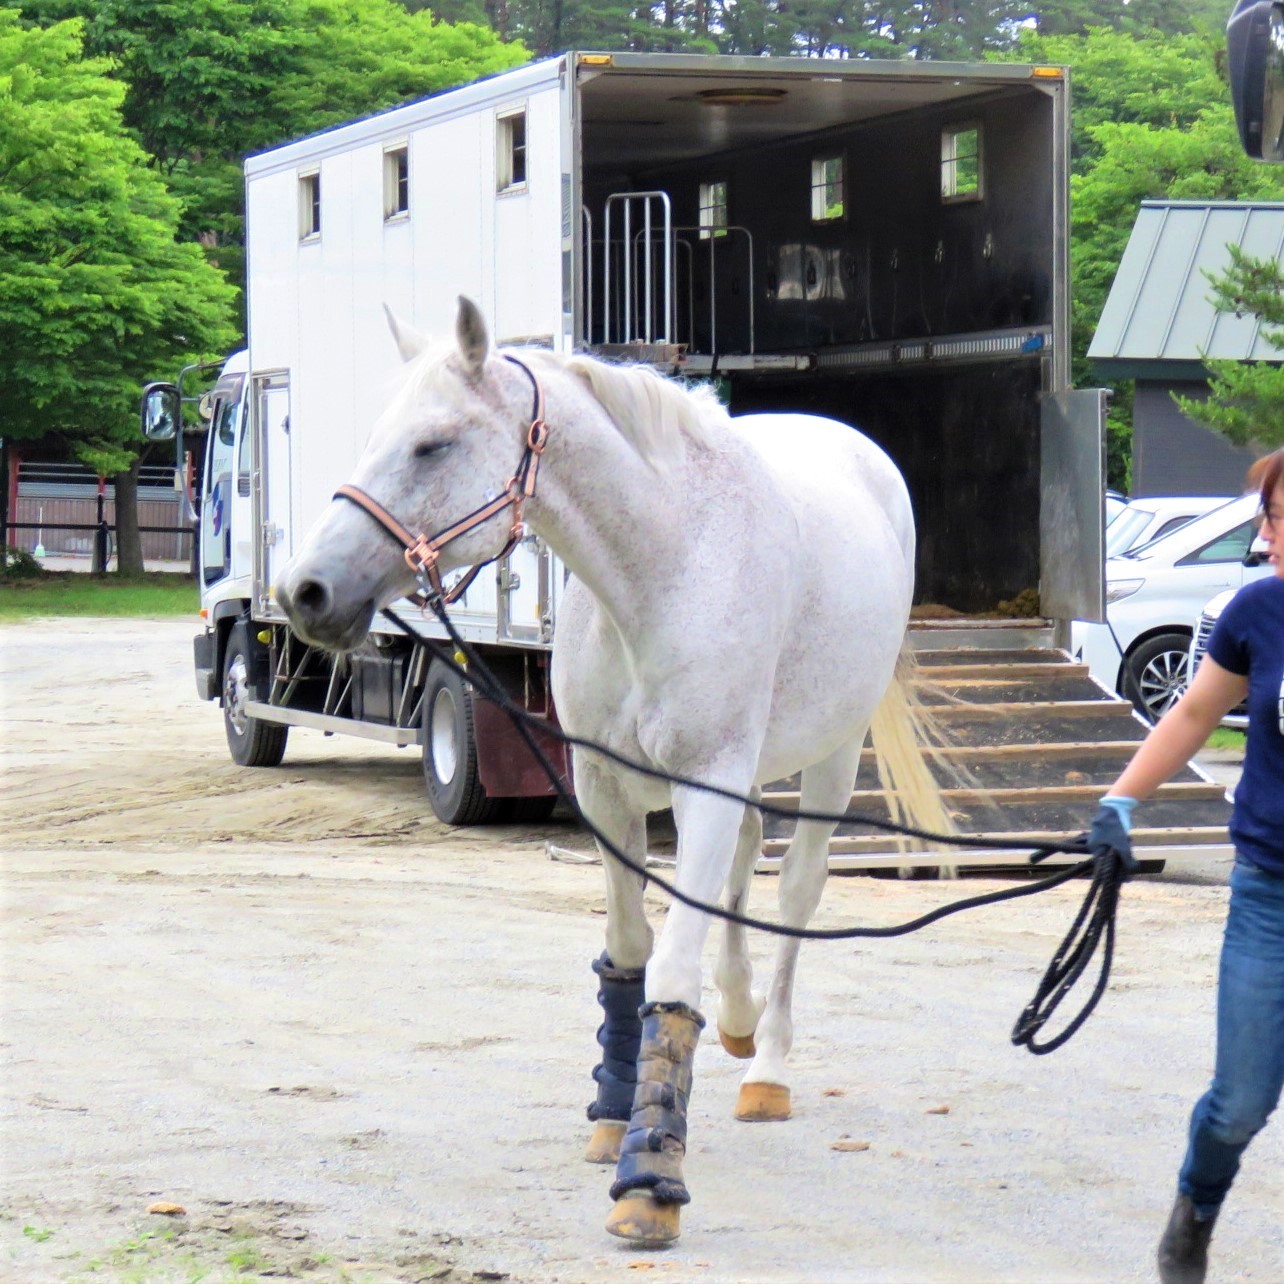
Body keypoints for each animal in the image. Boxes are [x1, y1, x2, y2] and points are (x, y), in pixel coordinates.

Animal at [276, 297, 955, 1242]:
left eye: (433, 445)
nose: (305, 592)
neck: (666, 569)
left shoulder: (706, 780)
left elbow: (671, 970)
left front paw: (651, 1173)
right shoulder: (605, 790)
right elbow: (630, 952)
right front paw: (612, 1111)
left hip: (832, 756)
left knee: (795, 892)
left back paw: (767, 1067)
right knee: (746, 860)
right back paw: (738, 1020)